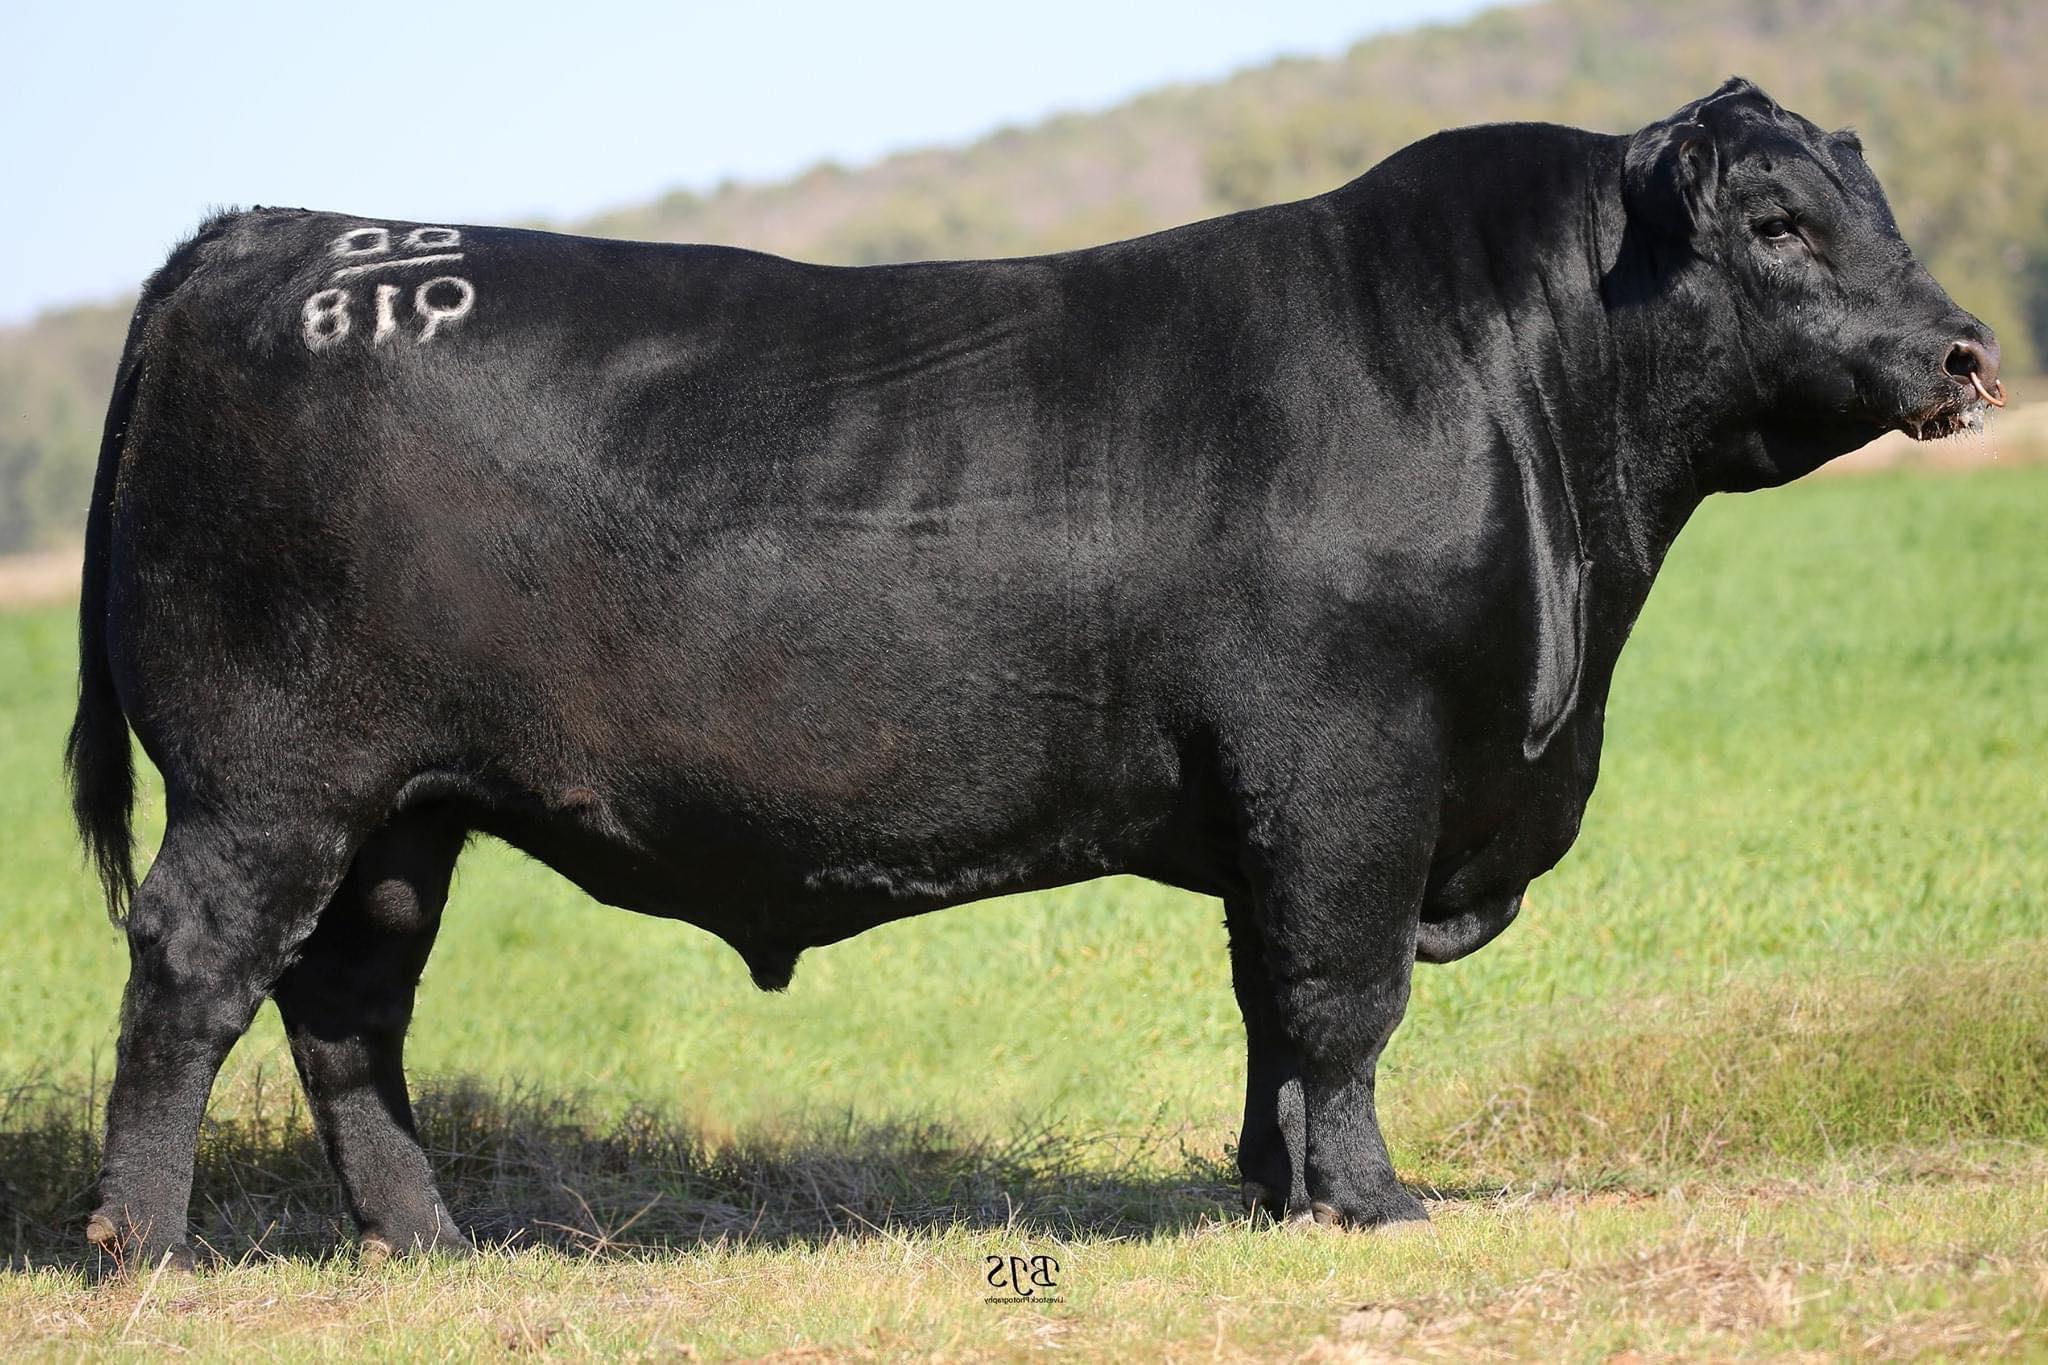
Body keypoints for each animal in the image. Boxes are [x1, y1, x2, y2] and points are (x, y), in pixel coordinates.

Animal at [67, 77, 2001, 1269]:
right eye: (1774, 225)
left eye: (1874, 201)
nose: (1963, 353)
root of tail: (279, 232)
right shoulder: (1350, 771)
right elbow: (1341, 1000)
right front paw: (1373, 1205)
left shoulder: (1286, 804)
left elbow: (1268, 1007)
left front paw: (1273, 1194)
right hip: (268, 780)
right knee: (195, 970)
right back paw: (149, 1250)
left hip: (403, 811)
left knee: (347, 1007)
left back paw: (428, 1243)